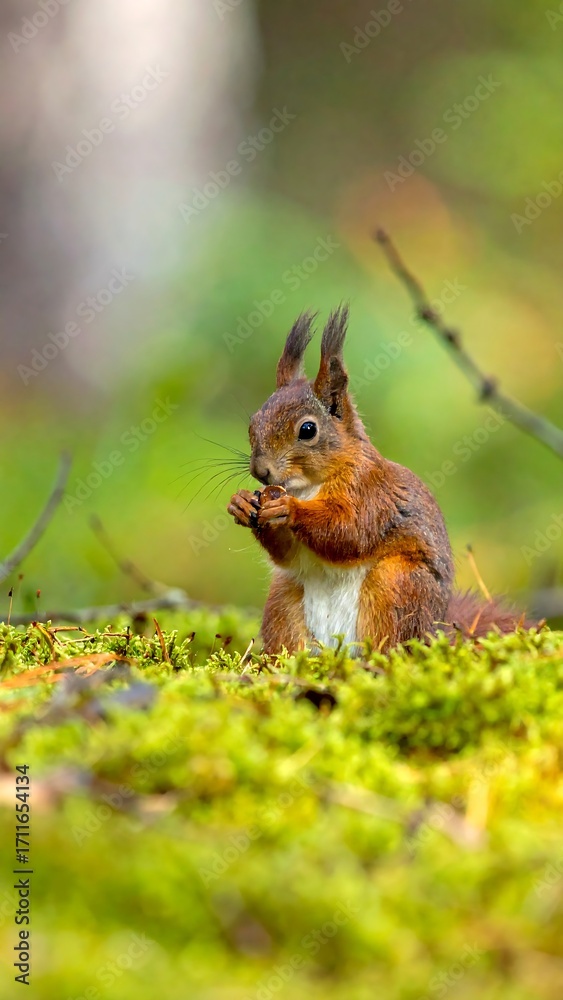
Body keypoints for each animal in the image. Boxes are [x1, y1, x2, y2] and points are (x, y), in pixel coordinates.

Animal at [227, 307, 529, 655]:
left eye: (307, 429)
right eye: (253, 423)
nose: (260, 471)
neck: (308, 486)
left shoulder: (371, 492)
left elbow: (350, 531)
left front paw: (289, 509)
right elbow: (287, 554)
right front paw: (240, 503)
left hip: (396, 584)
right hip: (284, 597)